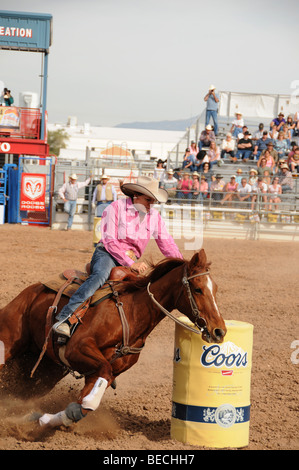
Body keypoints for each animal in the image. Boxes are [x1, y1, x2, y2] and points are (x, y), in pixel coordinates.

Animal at [0, 250, 226, 430]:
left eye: (215, 289)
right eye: (197, 289)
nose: (219, 331)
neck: (132, 312)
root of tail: (30, 291)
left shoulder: (101, 373)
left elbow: (84, 405)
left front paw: (45, 419)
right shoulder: (78, 348)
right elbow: (94, 390)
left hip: (45, 372)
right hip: (9, 343)